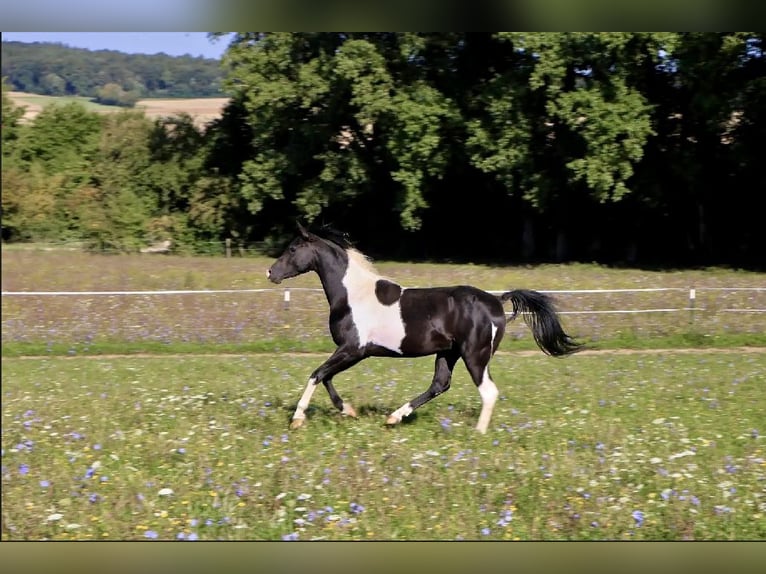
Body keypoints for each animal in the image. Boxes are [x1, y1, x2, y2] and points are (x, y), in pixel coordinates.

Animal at [267, 224, 583, 433]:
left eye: (293, 249)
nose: (271, 273)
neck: (353, 295)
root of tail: (497, 300)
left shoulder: (353, 349)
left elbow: (317, 374)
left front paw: (297, 419)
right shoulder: (352, 352)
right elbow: (327, 377)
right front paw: (349, 411)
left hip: (475, 356)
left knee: (488, 391)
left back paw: (478, 433)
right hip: (448, 353)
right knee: (440, 384)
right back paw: (394, 417)